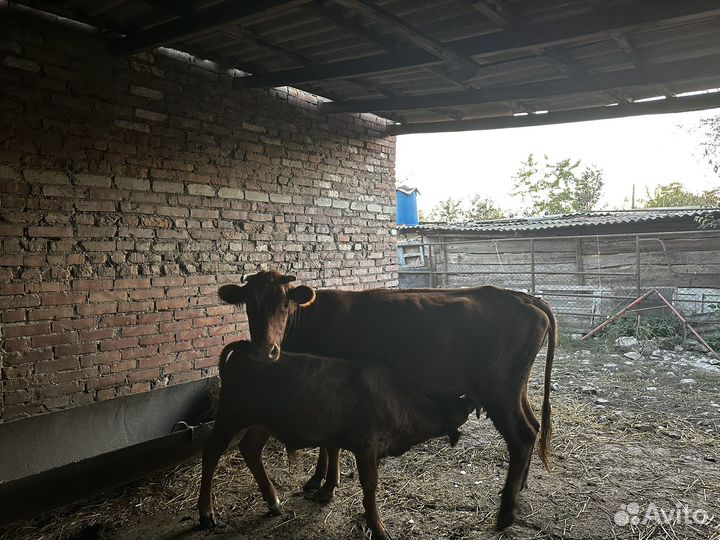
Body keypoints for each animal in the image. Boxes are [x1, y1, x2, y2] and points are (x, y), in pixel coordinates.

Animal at [198, 339, 474, 540]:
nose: (472, 402)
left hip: (260, 423)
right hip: (231, 416)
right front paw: (378, 527)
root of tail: (245, 347)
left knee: (250, 449)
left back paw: (273, 502)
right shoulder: (367, 445)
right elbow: (370, 485)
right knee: (211, 450)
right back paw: (206, 513)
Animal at [218, 270, 556, 529]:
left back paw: (505, 514)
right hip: (515, 389)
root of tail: (524, 298)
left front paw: (326, 486)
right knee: (532, 425)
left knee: (521, 436)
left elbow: (331, 444)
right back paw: (520, 489)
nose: (264, 351)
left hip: (499, 389)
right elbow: (328, 443)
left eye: (284, 303)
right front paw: (318, 480)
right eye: (249, 304)